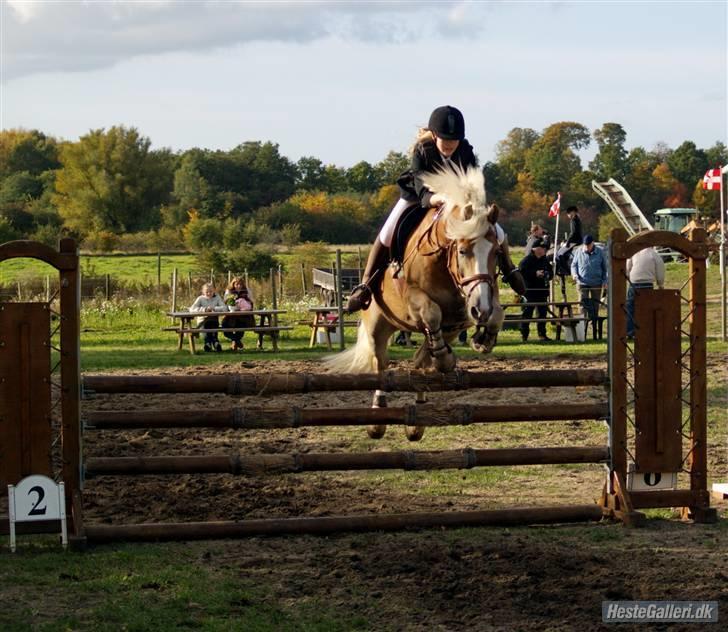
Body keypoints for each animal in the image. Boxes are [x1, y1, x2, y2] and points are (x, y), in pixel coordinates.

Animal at [328, 165, 504, 436]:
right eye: (463, 251)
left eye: (496, 252)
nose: (480, 310)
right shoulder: (413, 297)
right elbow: (431, 311)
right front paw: (449, 356)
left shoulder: (472, 304)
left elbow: (496, 312)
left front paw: (483, 339)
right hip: (378, 326)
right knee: (382, 364)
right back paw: (378, 418)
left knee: (420, 361)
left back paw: (419, 415)